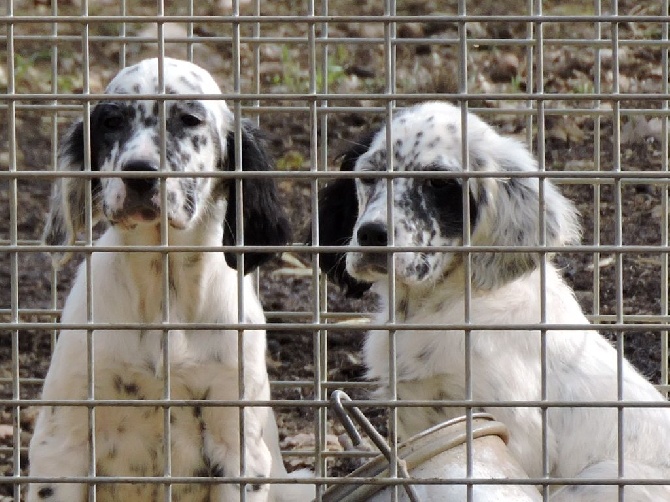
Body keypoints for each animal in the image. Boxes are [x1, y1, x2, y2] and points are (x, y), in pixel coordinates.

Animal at [30, 57, 314, 502]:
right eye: (111, 121)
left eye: (189, 119)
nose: (140, 174)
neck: (163, 289)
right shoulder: (60, 446)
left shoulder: (239, 448)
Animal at [318, 100, 670, 500]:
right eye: (370, 175)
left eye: (438, 182)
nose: (371, 235)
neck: (439, 304)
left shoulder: (518, 430)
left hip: (602, 475)